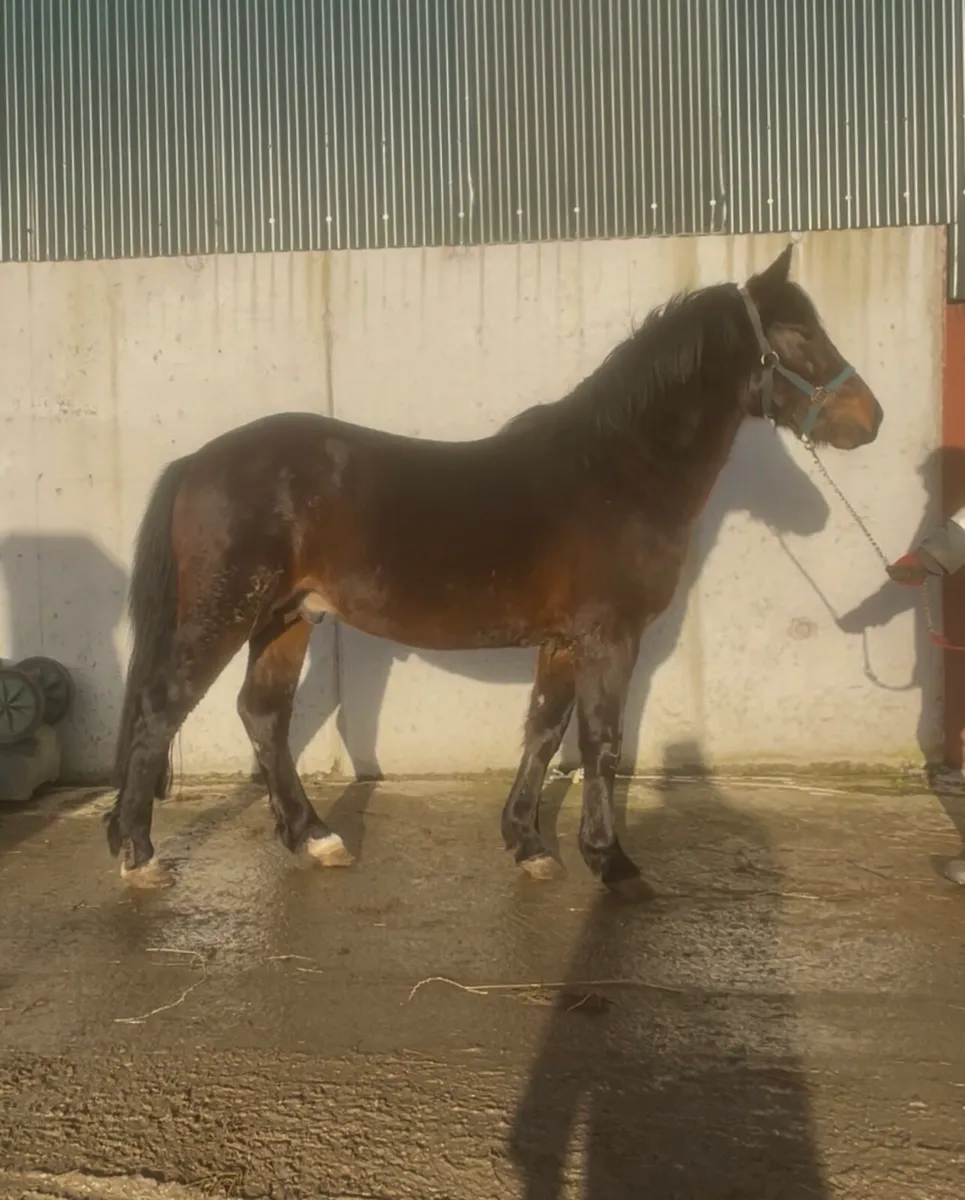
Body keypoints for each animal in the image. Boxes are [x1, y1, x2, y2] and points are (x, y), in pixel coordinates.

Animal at [107, 243, 883, 893]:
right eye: (797, 335)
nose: (869, 420)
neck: (618, 471)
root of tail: (198, 462)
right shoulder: (609, 638)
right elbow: (601, 744)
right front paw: (611, 861)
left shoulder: (563, 643)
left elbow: (542, 731)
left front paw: (529, 844)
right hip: (224, 613)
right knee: (163, 709)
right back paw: (139, 856)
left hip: (287, 616)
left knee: (262, 716)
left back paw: (314, 838)